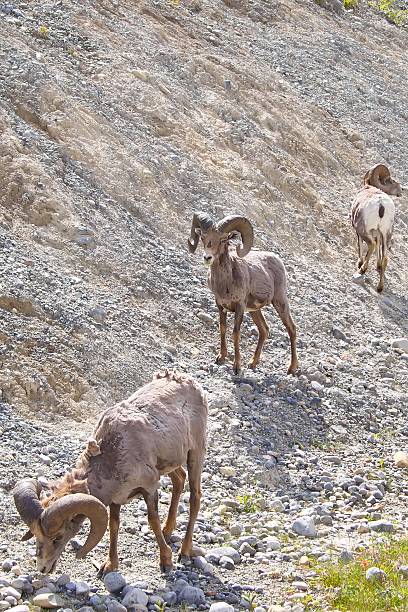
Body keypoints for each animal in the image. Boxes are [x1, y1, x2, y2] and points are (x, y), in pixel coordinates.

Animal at [12, 370, 207, 576]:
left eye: (58, 537)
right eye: (36, 535)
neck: (114, 450)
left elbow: (152, 520)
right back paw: (167, 531)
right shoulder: (116, 499)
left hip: (195, 454)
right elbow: (114, 525)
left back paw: (184, 552)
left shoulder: (149, 487)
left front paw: (166, 561)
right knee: (179, 481)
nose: (43, 568)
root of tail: (190, 382)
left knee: (195, 497)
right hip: (173, 463)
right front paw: (109, 565)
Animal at [187, 212, 296, 372]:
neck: (225, 283)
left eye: (223, 239)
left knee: (291, 329)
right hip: (255, 310)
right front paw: (221, 358)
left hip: (279, 302)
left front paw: (237, 366)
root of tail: (277, 260)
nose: (207, 257)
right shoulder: (220, 306)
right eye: (203, 237)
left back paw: (292, 369)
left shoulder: (239, 307)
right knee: (264, 330)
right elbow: (223, 329)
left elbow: (235, 333)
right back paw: (253, 363)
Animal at [350, 163, 404, 292]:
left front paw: (359, 263)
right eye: (391, 180)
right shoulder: (379, 233)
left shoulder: (358, 230)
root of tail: (381, 205)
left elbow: (360, 245)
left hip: (364, 230)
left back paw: (362, 269)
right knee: (385, 258)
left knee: (372, 245)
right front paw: (378, 266)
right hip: (387, 234)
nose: (401, 190)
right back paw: (380, 287)